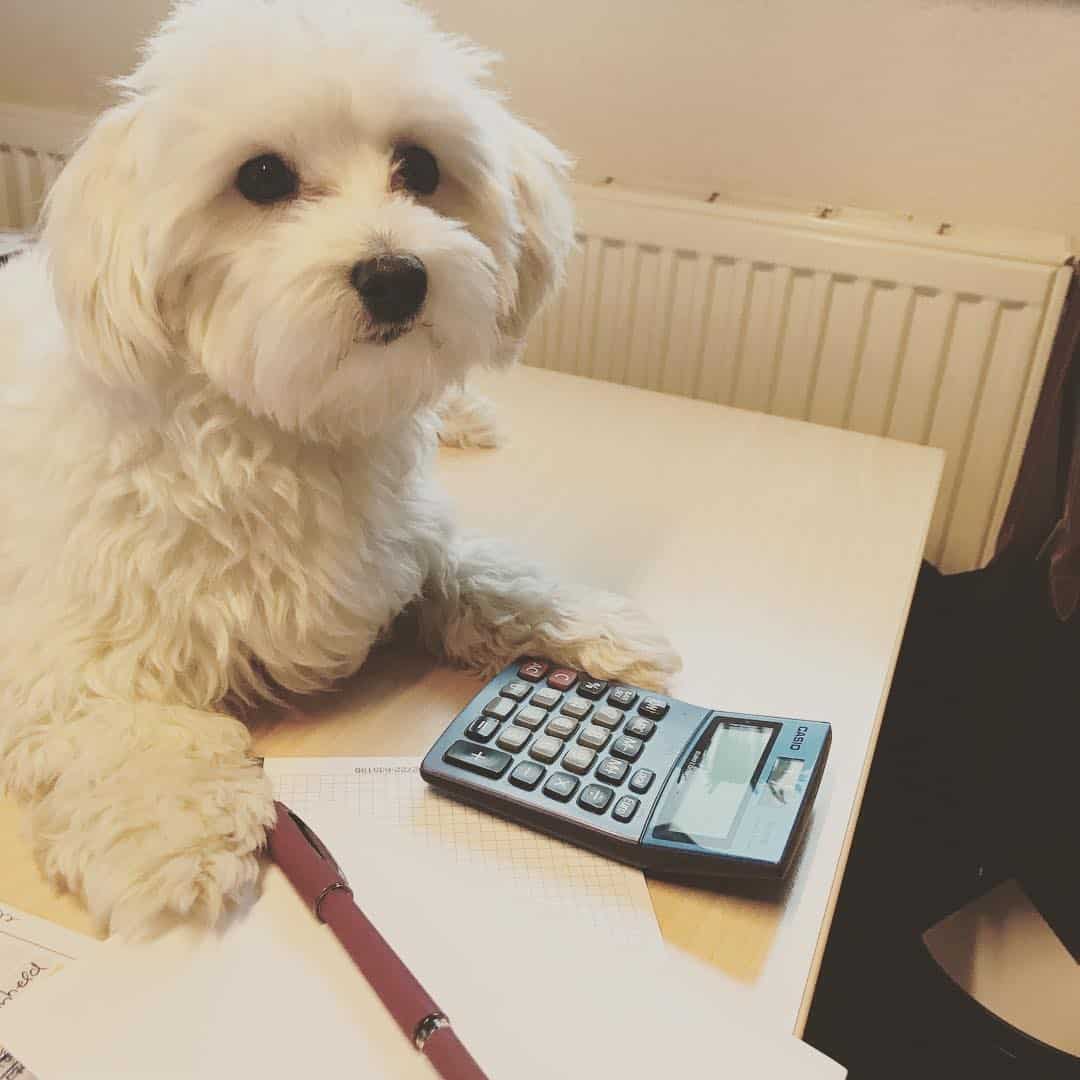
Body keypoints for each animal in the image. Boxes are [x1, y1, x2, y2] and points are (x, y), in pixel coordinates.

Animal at [0, 0, 673, 933]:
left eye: (420, 166)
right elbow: (129, 727)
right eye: (261, 177)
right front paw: (172, 834)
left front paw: (590, 624)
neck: (288, 424)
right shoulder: (68, 643)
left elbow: (486, 573)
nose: (397, 277)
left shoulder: (400, 543)